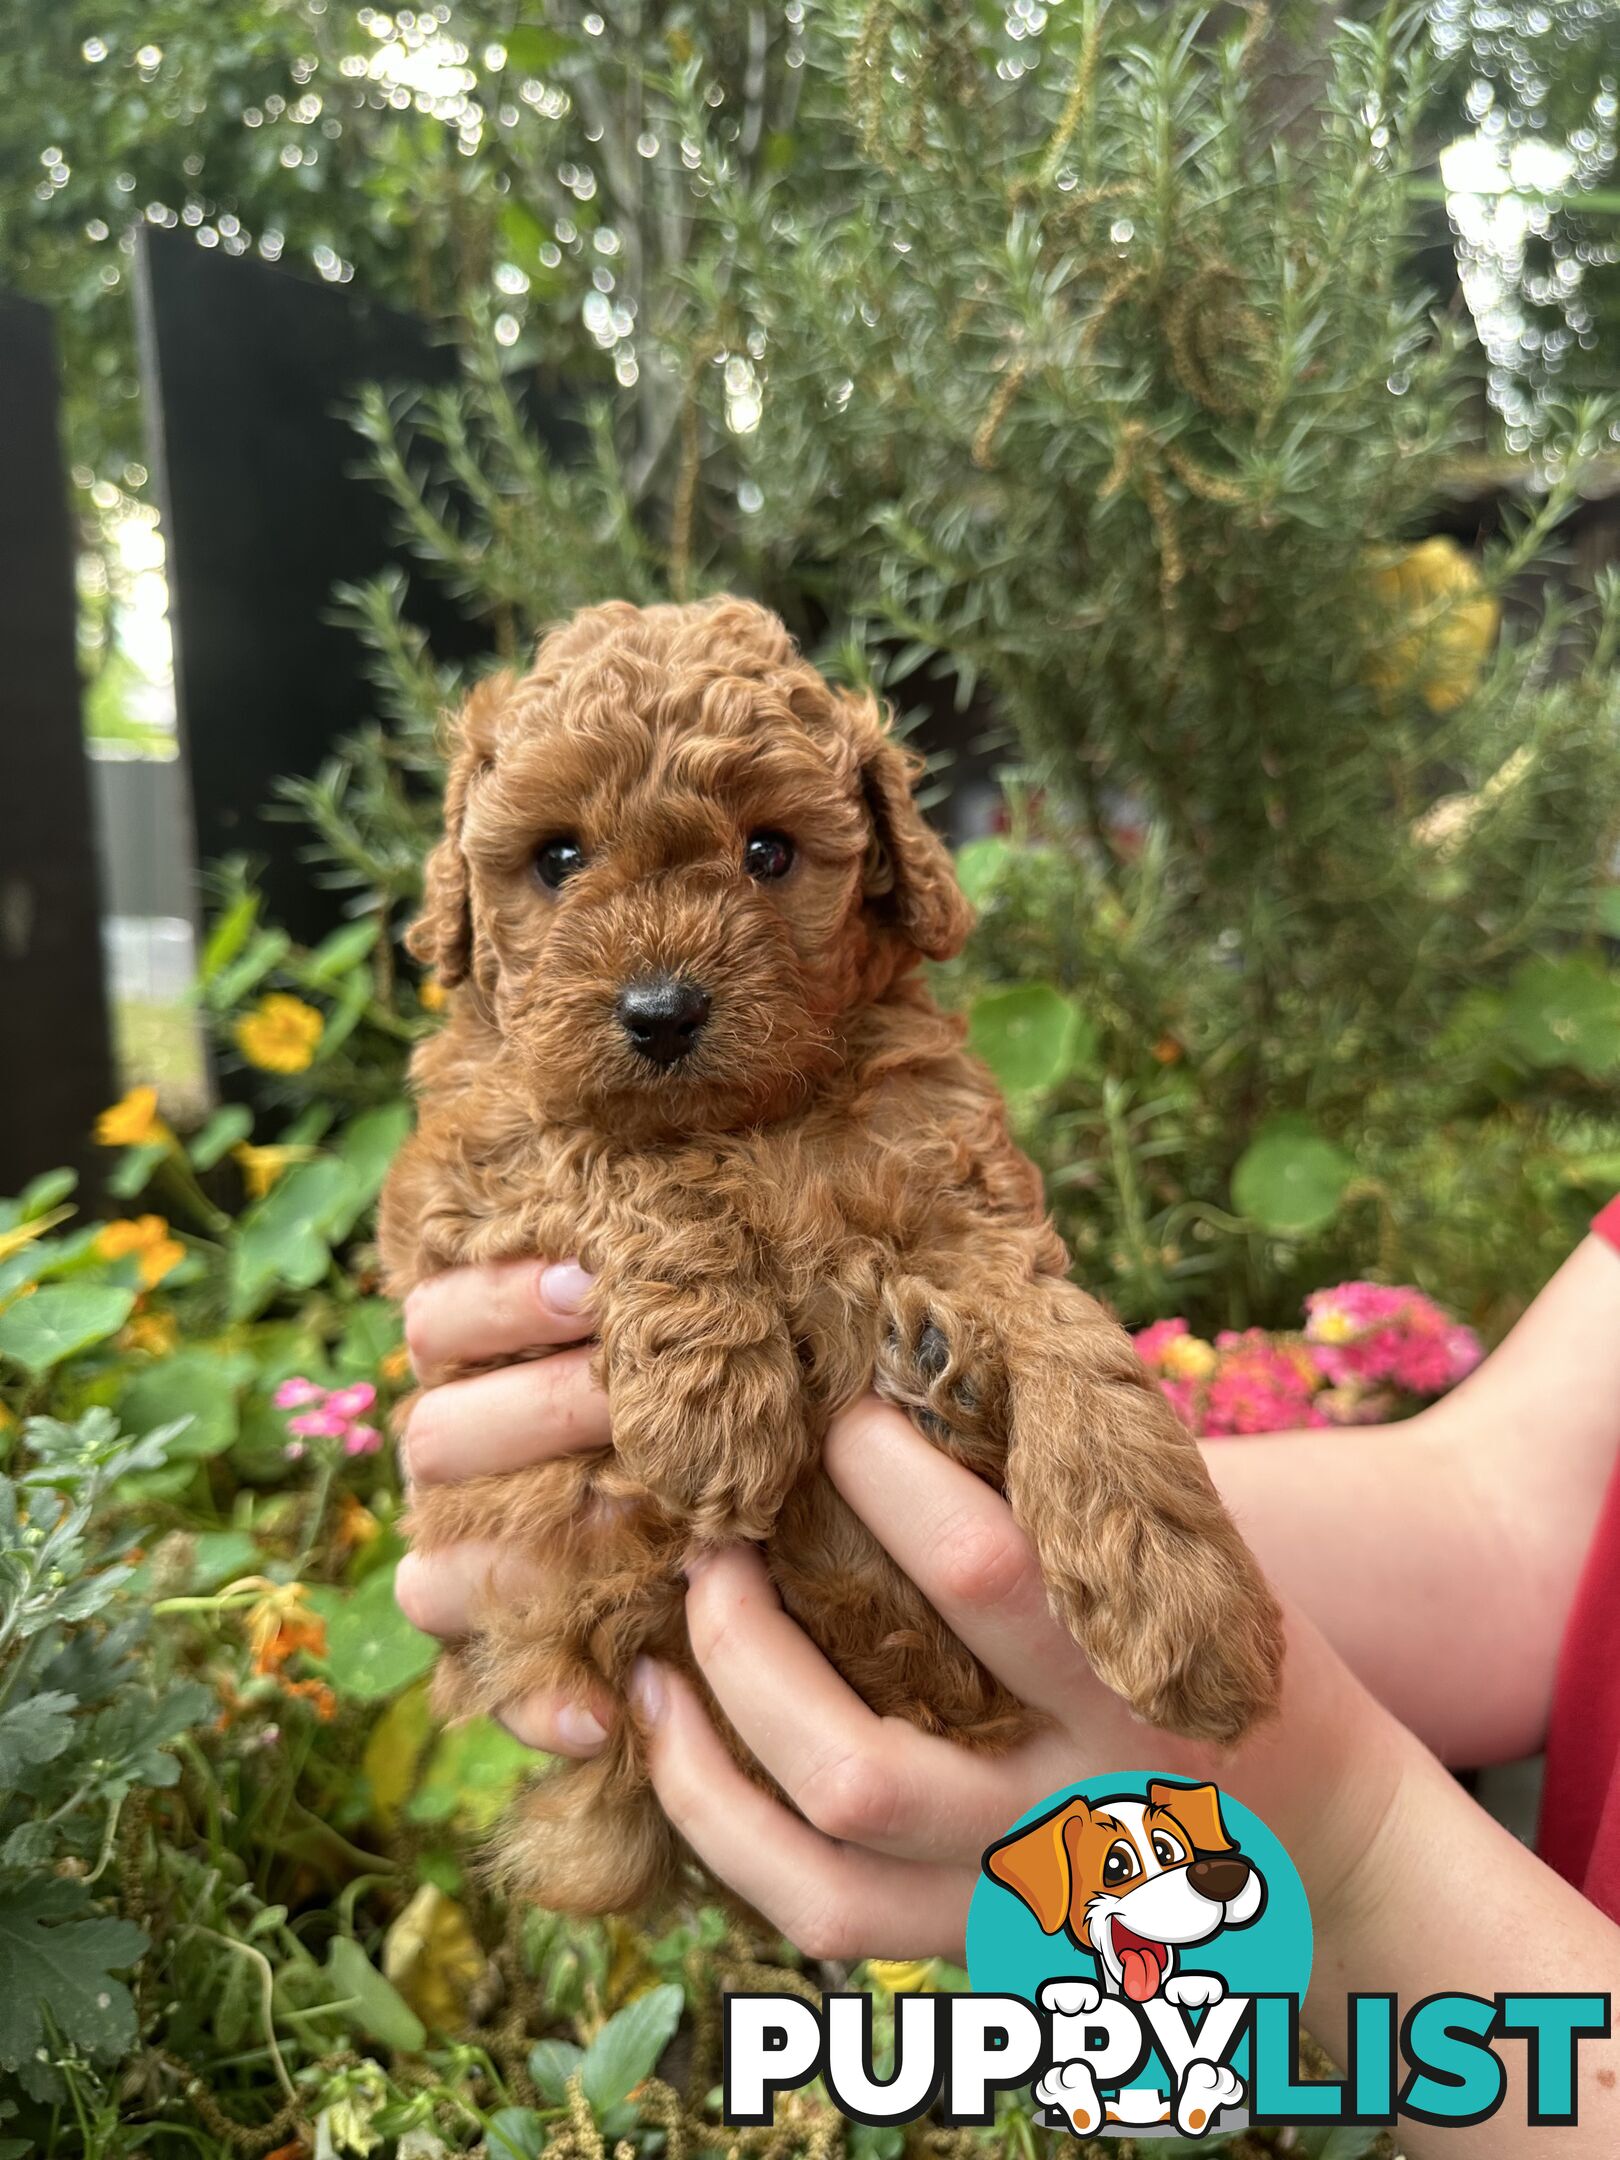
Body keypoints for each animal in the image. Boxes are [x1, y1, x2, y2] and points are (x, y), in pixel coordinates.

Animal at [380, 600, 1278, 1918]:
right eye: (556, 859)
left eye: (768, 852)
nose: (659, 1013)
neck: (760, 1115)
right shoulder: (469, 1166)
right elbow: (620, 1158)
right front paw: (712, 1411)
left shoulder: (971, 1202)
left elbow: (1077, 1338)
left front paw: (1183, 1594)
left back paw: (949, 1388)